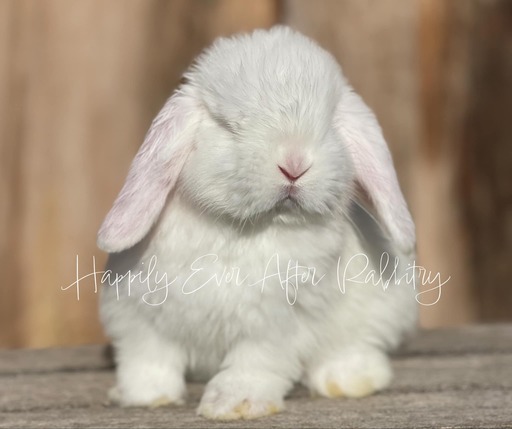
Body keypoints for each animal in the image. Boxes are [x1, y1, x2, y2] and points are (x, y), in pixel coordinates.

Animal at [98, 25, 418, 418]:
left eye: (329, 125)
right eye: (229, 126)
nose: (294, 163)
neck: (245, 230)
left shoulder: (276, 324)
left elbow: (254, 364)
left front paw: (234, 404)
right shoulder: (139, 317)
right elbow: (148, 361)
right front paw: (144, 397)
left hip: (382, 308)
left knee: (356, 348)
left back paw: (347, 382)